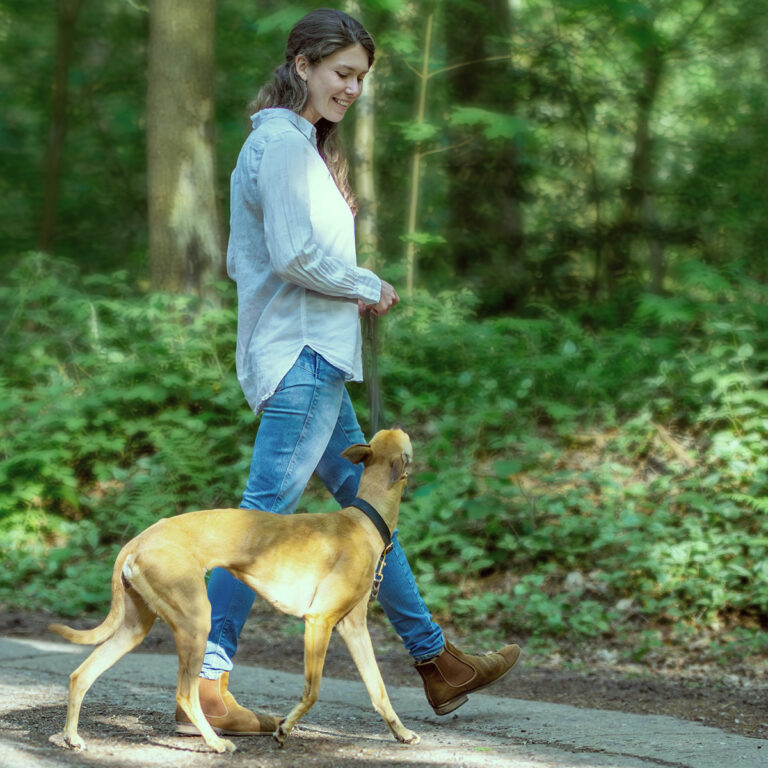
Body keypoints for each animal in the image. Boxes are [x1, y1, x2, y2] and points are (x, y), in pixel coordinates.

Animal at [49, 428, 420, 752]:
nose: (401, 424)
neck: (365, 518)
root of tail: (138, 540)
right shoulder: (319, 621)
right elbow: (313, 691)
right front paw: (283, 730)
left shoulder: (353, 628)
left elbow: (378, 689)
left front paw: (401, 732)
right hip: (195, 621)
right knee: (185, 694)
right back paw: (214, 742)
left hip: (135, 627)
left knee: (80, 675)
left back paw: (71, 737)